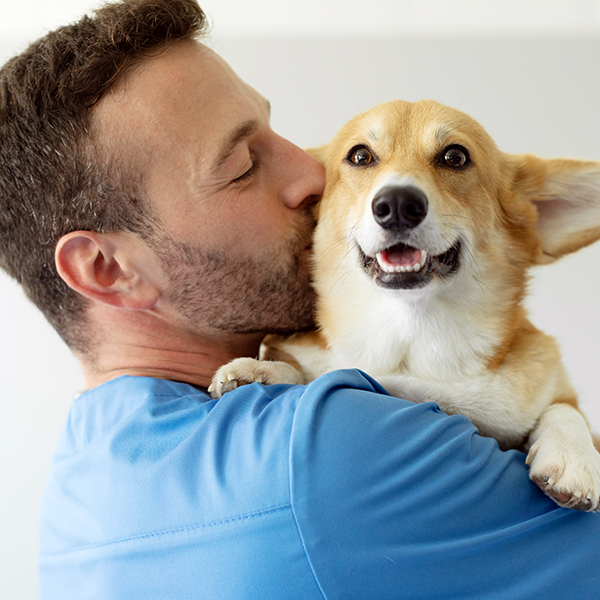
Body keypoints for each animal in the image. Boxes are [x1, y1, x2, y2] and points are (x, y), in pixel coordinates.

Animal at [209, 99, 600, 510]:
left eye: (455, 157)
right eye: (360, 155)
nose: (397, 204)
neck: (412, 342)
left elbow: (564, 408)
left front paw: (573, 458)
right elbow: (306, 371)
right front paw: (260, 370)